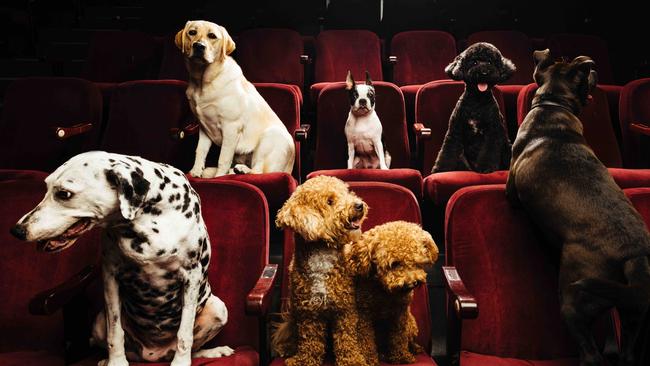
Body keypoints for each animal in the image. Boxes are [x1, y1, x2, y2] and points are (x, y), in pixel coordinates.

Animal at [11, 152, 233, 366]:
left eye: (64, 194)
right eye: (47, 187)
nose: (17, 230)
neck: (149, 219)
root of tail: (153, 356)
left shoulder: (191, 279)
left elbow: (184, 336)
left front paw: (181, 362)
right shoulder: (111, 278)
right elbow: (115, 333)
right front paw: (116, 361)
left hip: (218, 309)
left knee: (193, 347)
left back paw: (212, 351)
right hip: (99, 320)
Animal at [173, 20, 292, 177]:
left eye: (212, 36)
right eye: (192, 32)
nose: (199, 46)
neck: (203, 82)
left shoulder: (231, 127)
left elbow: (223, 157)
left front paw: (219, 177)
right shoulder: (204, 128)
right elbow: (200, 151)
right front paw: (196, 171)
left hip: (270, 137)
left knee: (259, 170)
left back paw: (240, 170)